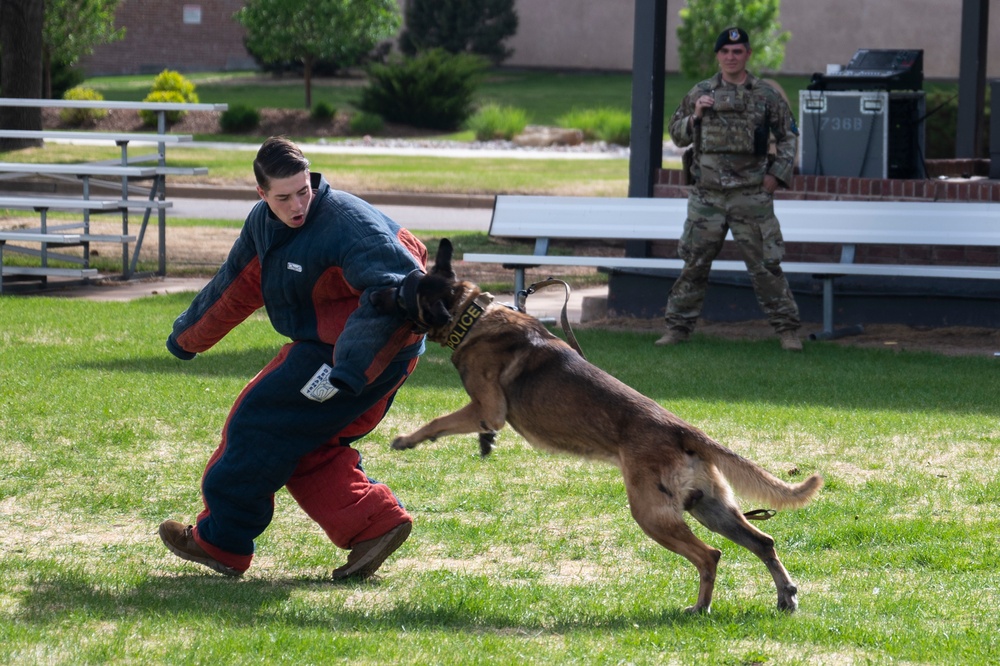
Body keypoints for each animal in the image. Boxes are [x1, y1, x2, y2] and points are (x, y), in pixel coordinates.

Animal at [374, 239, 820, 612]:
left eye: (404, 292)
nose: (375, 292)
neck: (473, 316)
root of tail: (682, 430)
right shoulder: (485, 412)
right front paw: (485, 444)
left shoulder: (485, 407)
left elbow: (439, 420)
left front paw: (407, 439)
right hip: (711, 507)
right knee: (763, 542)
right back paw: (785, 596)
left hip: (652, 514)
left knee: (710, 555)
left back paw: (700, 608)